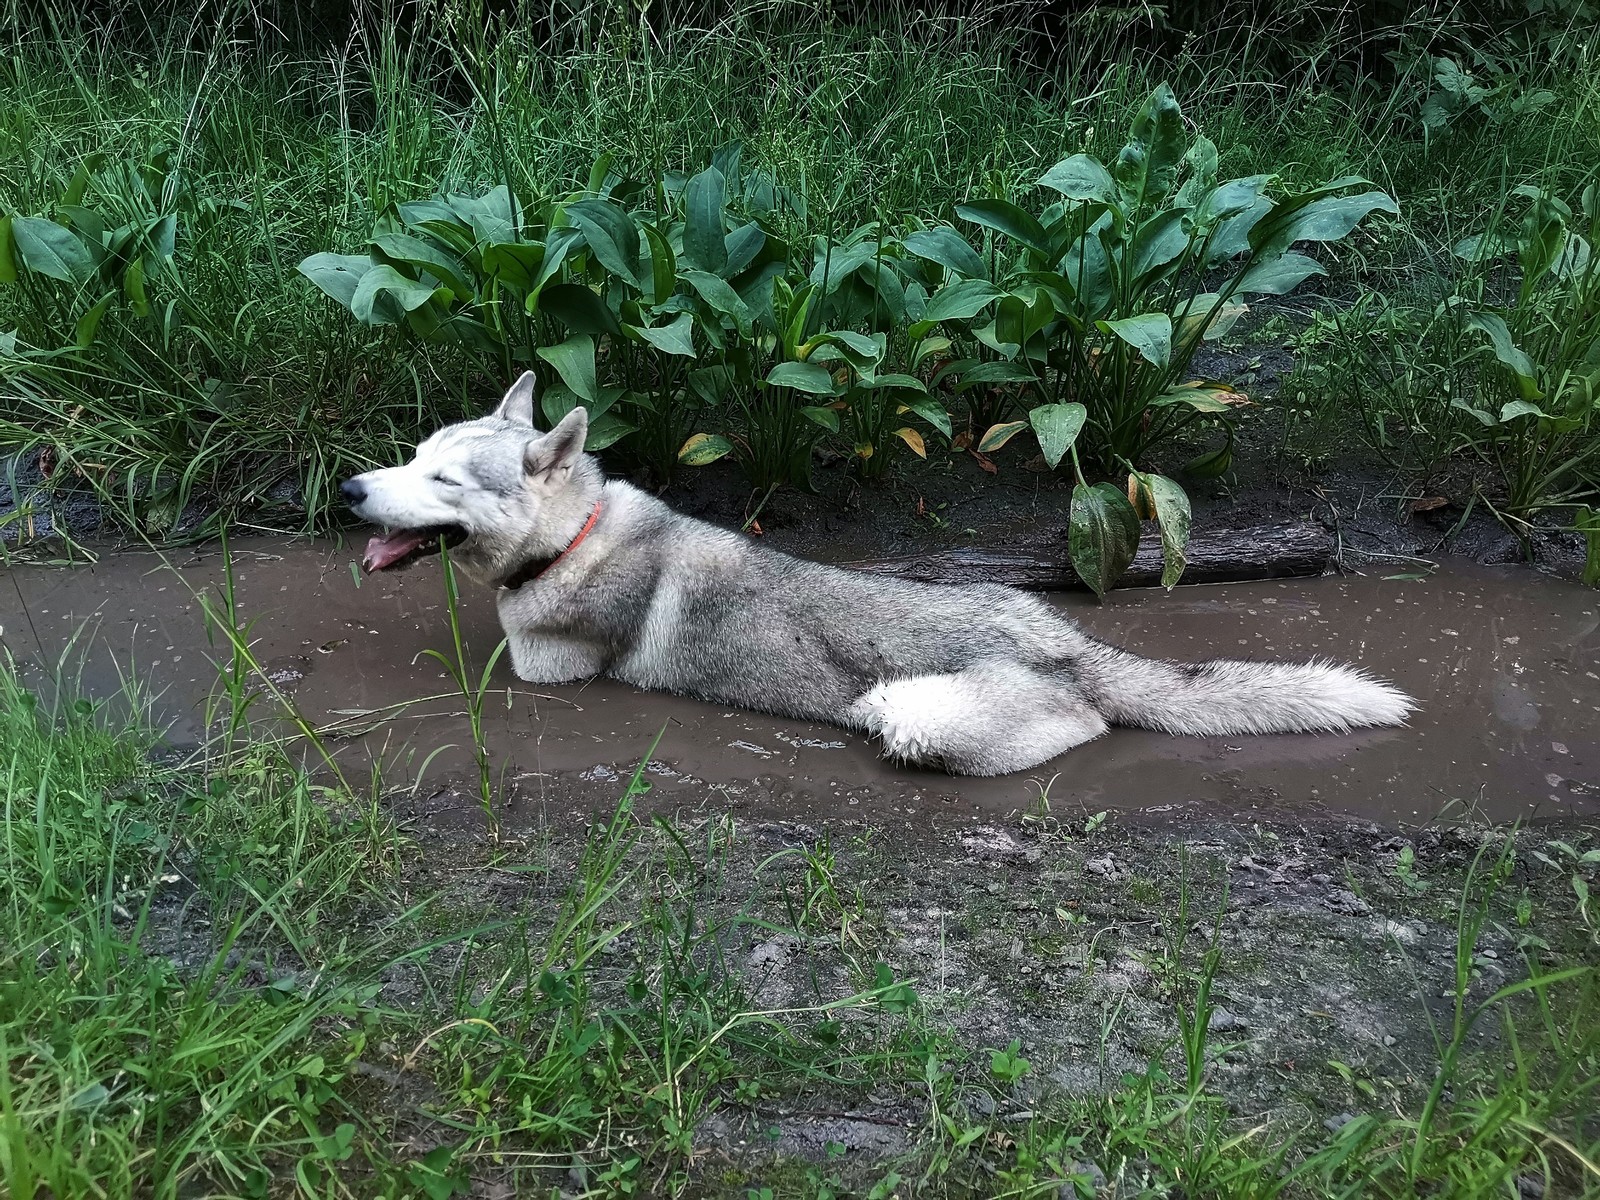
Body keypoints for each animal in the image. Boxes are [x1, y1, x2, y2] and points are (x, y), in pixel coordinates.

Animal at [340, 374, 1414, 780]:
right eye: (413, 455)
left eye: (442, 481)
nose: (350, 490)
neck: (578, 534)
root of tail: (1067, 645)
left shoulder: (542, 667)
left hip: (907, 709)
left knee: (1083, 725)